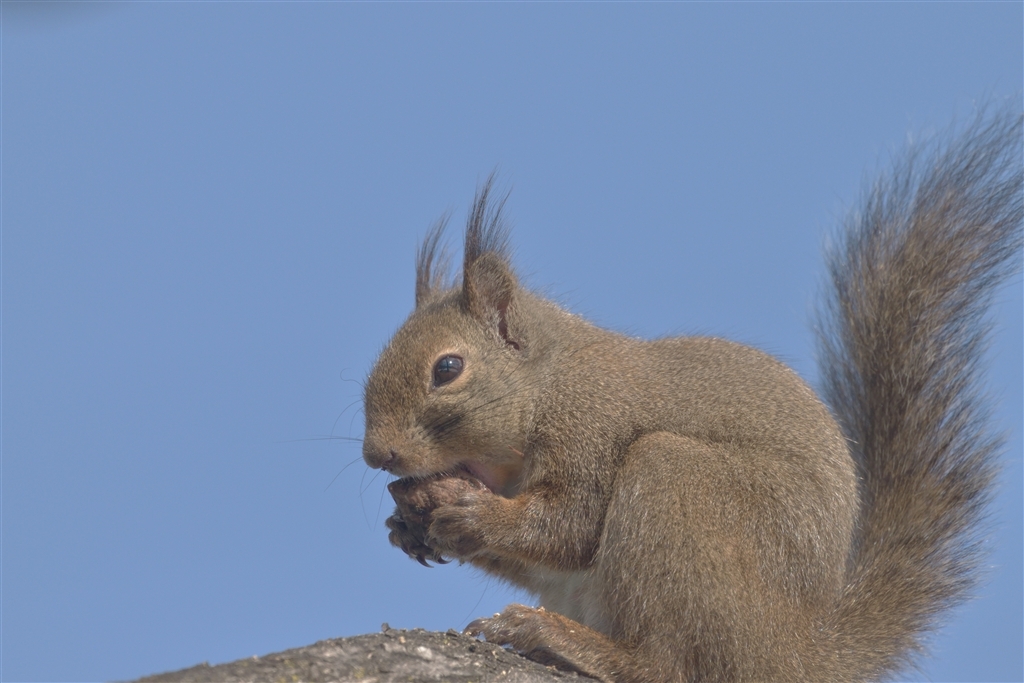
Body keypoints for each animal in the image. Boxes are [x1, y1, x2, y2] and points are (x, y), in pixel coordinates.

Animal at [362, 109, 1024, 679]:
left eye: (448, 368)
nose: (377, 455)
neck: (548, 382)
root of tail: (796, 655)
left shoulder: (593, 423)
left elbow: (568, 526)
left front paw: (470, 511)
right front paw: (409, 524)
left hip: (678, 488)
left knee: (667, 665)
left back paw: (556, 639)